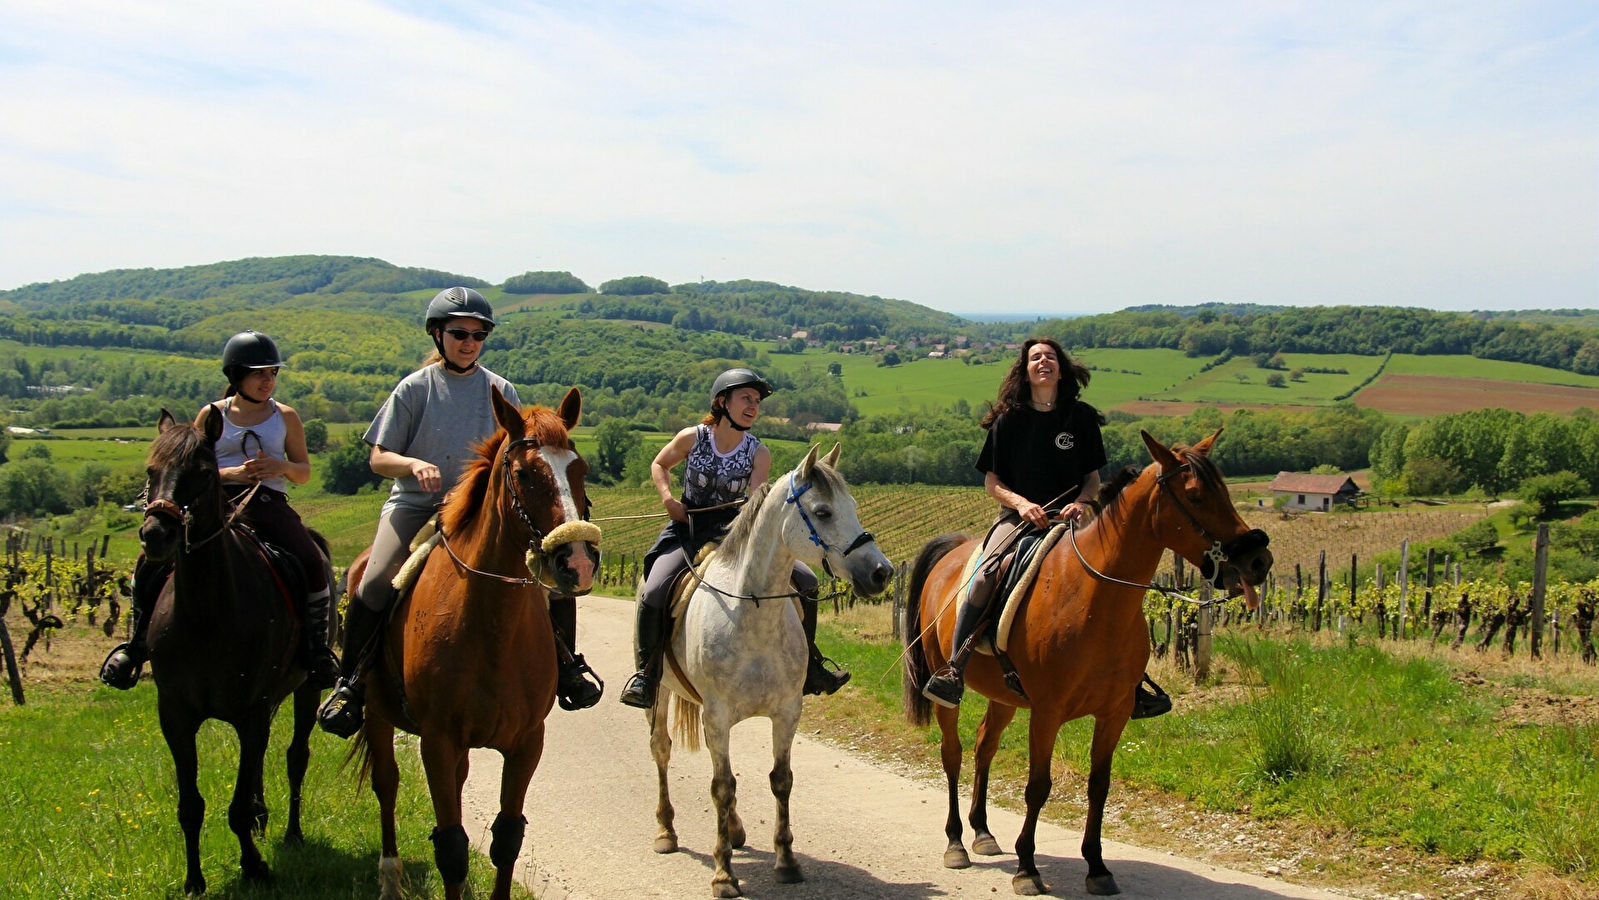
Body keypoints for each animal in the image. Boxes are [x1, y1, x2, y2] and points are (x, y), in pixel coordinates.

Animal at [140, 409, 330, 895]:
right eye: (151, 470)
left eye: (203, 473)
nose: (156, 535)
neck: (206, 613)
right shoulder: (175, 717)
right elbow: (191, 805)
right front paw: (194, 880)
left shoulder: (251, 711)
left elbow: (239, 805)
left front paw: (255, 867)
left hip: (305, 690)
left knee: (295, 758)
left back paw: (292, 833)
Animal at [350, 386, 601, 900]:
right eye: (523, 474)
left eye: (580, 469)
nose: (578, 563)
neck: (492, 628)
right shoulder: (437, 741)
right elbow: (450, 845)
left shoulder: (526, 743)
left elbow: (505, 838)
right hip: (376, 713)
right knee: (387, 784)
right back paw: (390, 878)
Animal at [649, 447, 901, 895]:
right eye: (822, 512)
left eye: (853, 506)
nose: (881, 573)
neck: (752, 613)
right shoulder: (716, 716)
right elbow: (721, 787)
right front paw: (723, 874)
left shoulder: (786, 712)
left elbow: (778, 780)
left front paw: (786, 861)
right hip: (660, 693)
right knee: (662, 749)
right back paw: (666, 831)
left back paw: (734, 831)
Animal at [908, 428, 1266, 895]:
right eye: (1195, 495)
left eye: (1225, 490)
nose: (1258, 561)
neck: (1097, 601)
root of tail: (953, 552)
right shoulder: (1047, 712)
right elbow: (1038, 786)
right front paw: (1027, 868)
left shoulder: (1114, 712)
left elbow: (1099, 786)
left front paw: (1096, 867)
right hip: (949, 688)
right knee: (952, 753)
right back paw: (956, 843)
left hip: (1004, 696)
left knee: (985, 745)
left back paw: (983, 832)